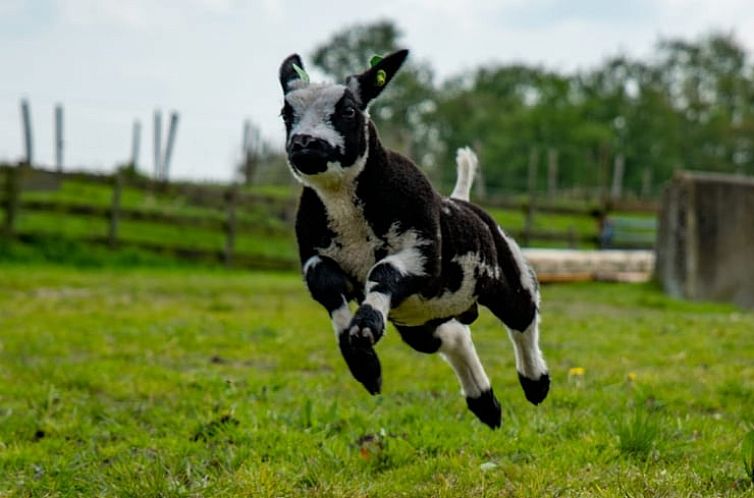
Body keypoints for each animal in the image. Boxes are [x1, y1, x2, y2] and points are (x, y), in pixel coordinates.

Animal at [276, 47, 548, 428]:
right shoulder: (313, 255)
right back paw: (485, 404)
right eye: (286, 113)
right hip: (420, 320)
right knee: (456, 337)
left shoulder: (422, 254)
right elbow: (326, 284)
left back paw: (536, 384)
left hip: (505, 276)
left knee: (523, 318)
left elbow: (383, 272)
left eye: (348, 110)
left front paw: (366, 327)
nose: (304, 144)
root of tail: (461, 199)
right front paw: (362, 361)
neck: (346, 209)